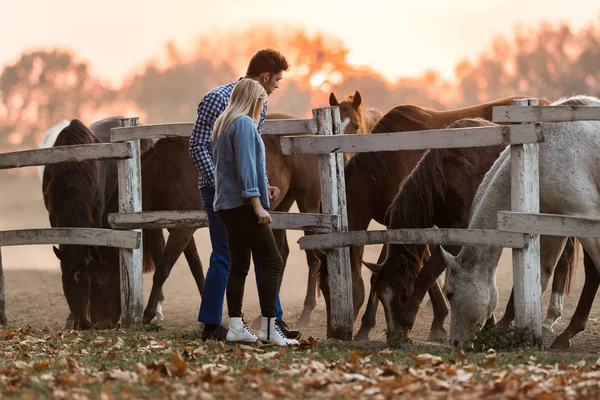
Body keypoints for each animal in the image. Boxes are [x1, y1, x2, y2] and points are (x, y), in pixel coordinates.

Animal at [442, 95, 600, 348]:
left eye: (450, 293)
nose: (456, 343)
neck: (541, 152)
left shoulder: (586, 217)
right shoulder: (551, 225)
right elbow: (541, 277)